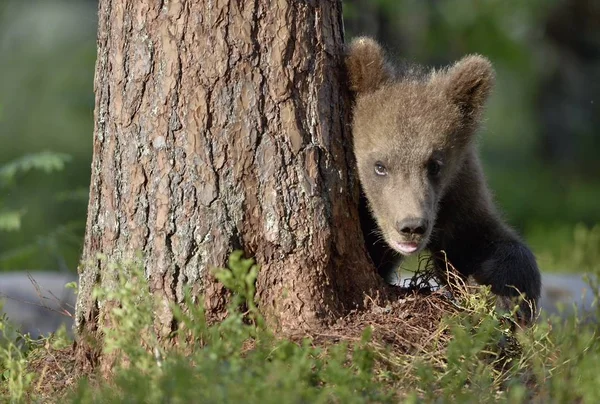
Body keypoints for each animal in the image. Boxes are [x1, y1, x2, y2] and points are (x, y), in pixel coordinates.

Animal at [344, 36, 540, 324]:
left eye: (434, 165)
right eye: (380, 166)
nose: (411, 226)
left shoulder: (457, 193)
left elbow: (480, 242)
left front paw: (505, 300)